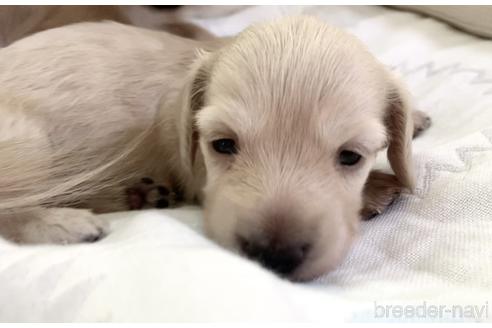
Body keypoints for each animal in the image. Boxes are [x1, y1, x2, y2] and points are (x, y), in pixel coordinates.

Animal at [0, 16, 430, 280]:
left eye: (350, 156)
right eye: (223, 145)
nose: (273, 256)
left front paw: (415, 118)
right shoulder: (196, 175)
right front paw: (377, 187)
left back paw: (141, 194)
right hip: (32, 144)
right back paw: (65, 222)